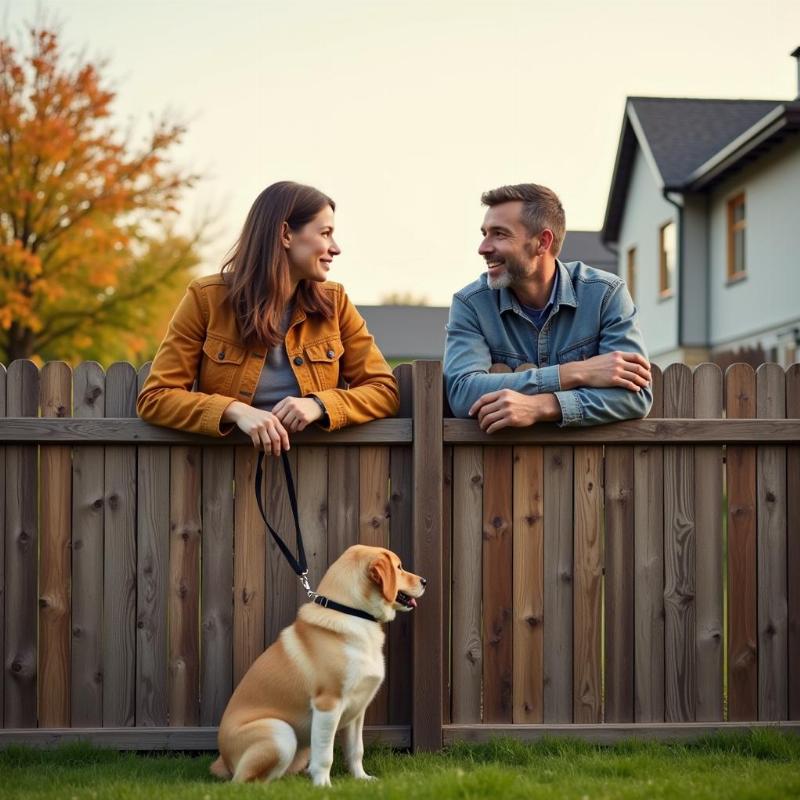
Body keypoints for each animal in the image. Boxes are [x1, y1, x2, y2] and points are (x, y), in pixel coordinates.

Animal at [209, 540, 428, 784]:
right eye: (399, 567)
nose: (424, 581)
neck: (353, 613)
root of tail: (223, 761)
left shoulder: (357, 711)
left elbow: (356, 750)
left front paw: (361, 779)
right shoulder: (327, 704)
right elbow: (325, 754)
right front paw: (323, 784)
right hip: (280, 733)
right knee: (245, 781)